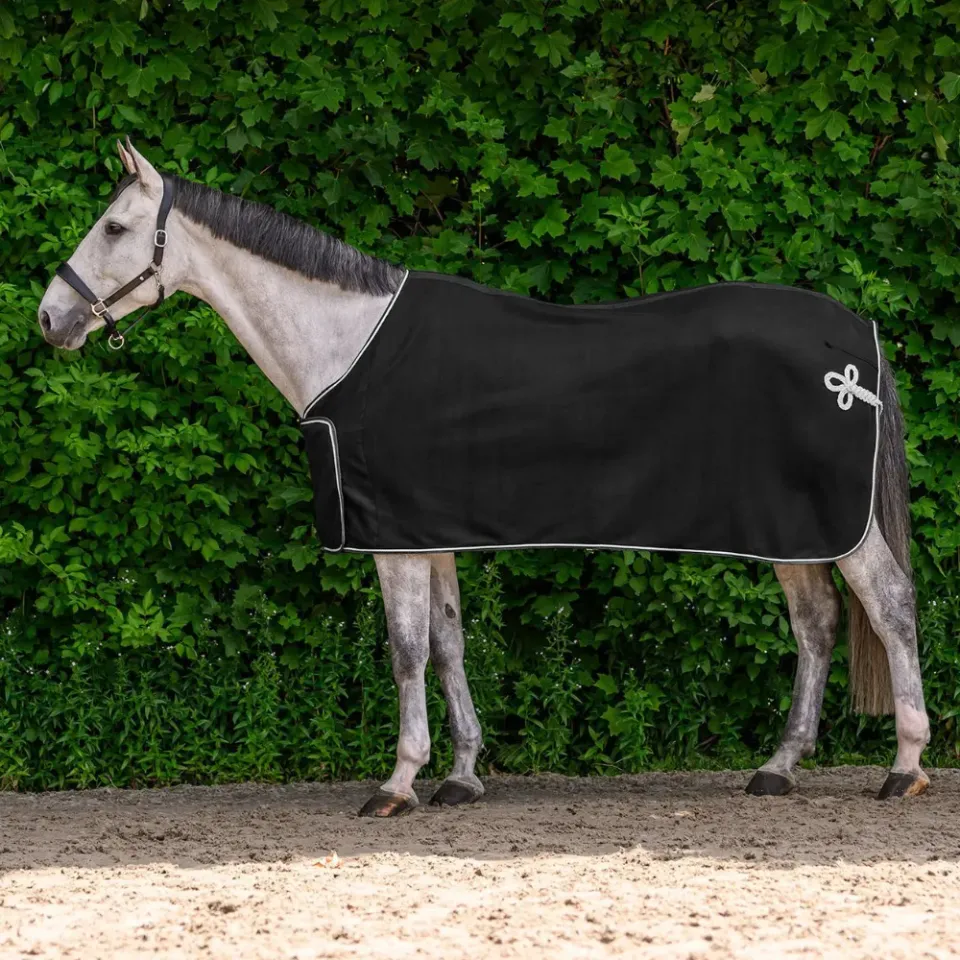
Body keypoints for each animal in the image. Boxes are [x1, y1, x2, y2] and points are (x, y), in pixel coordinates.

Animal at [37, 141, 930, 815]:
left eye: (114, 225)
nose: (50, 318)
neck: (347, 343)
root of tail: (856, 341)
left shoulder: (393, 540)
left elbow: (405, 653)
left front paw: (398, 783)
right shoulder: (428, 531)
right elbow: (449, 644)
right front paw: (462, 775)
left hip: (833, 528)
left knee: (889, 606)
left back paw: (905, 767)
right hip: (793, 531)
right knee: (817, 625)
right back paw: (779, 767)